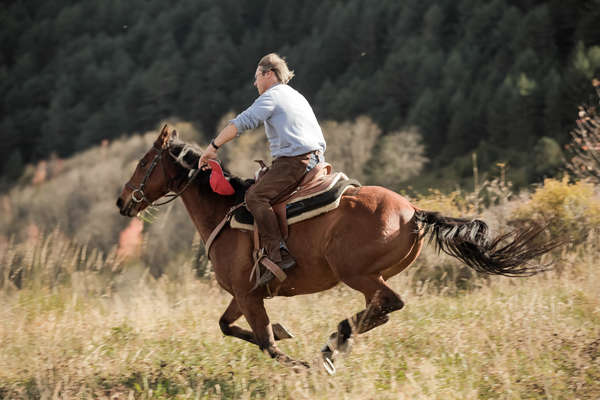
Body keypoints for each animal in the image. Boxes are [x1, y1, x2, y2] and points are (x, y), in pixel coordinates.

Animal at [117, 125, 564, 372]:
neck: (225, 212)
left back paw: (334, 343)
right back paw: (338, 339)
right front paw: (287, 332)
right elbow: (230, 327)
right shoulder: (245, 294)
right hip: (368, 276)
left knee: (388, 304)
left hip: (358, 273)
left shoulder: (248, 294)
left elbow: (267, 344)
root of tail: (413, 212)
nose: (122, 201)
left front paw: (300, 364)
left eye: (142, 164)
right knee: (380, 310)